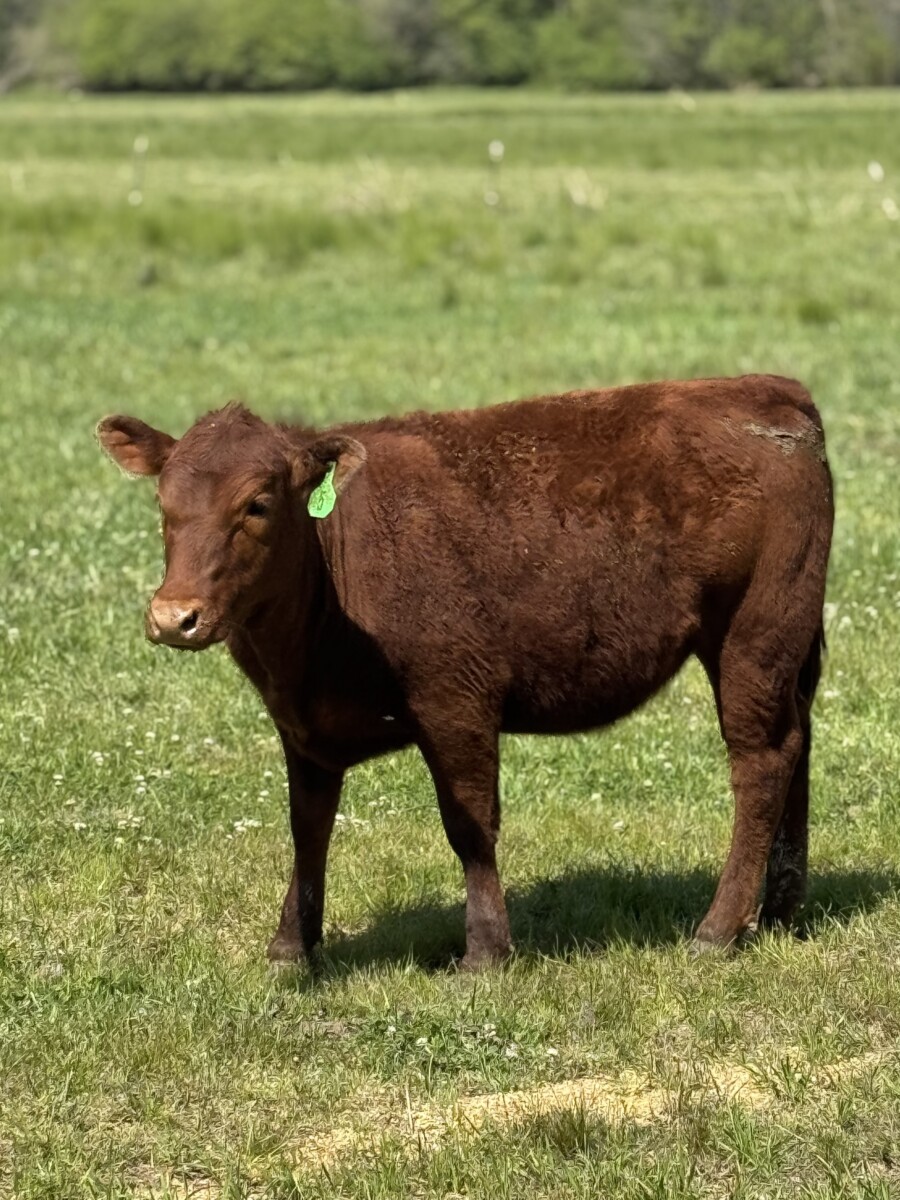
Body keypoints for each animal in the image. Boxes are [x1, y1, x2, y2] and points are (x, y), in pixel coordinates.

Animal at [97, 374, 833, 969]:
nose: (175, 616)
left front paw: (484, 952)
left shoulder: (457, 702)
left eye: (257, 503)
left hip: (754, 633)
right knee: (796, 745)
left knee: (761, 761)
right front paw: (290, 947)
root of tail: (766, 388)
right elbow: (308, 830)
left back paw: (718, 929)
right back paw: (780, 911)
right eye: (163, 505)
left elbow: (470, 826)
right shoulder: (302, 730)